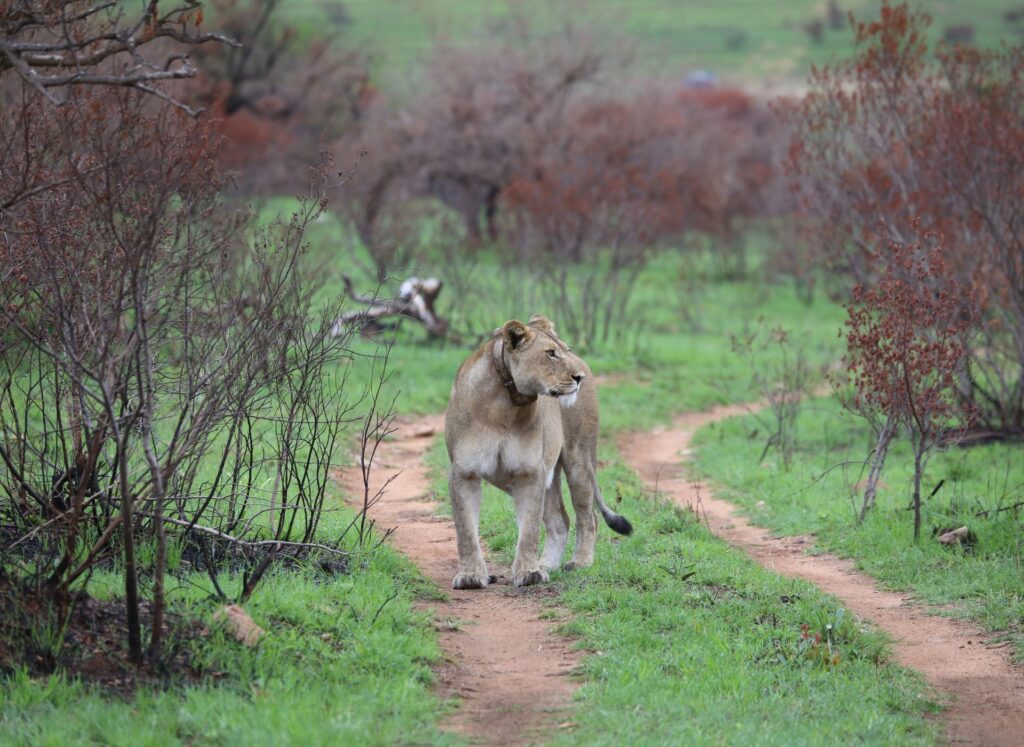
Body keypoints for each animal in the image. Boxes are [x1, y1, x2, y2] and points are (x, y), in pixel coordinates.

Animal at [444, 314, 632, 589]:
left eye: (566, 350)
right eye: (551, 353)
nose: (579, 378)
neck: (503, 405)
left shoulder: (530, 472)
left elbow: (529, 529)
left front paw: (529, 573)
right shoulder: (464, 473)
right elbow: (466, 530)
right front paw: (471, 576)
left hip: (579, 458)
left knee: (589, 516)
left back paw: (579, 563)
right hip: (549, 475)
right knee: (560, 521)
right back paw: (548, 565)